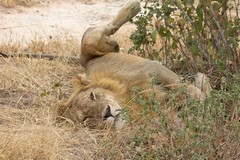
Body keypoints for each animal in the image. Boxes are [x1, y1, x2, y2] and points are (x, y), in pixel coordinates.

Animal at [57, 0, 211, 129]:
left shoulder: (152, 68)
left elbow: (186, 88)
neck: (128, 100)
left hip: (91, 42)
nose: (107, 113)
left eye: (92, 95)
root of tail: (86, 62)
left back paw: (132, 7)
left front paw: (202, 96)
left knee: (108, 28)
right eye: (86, 119)